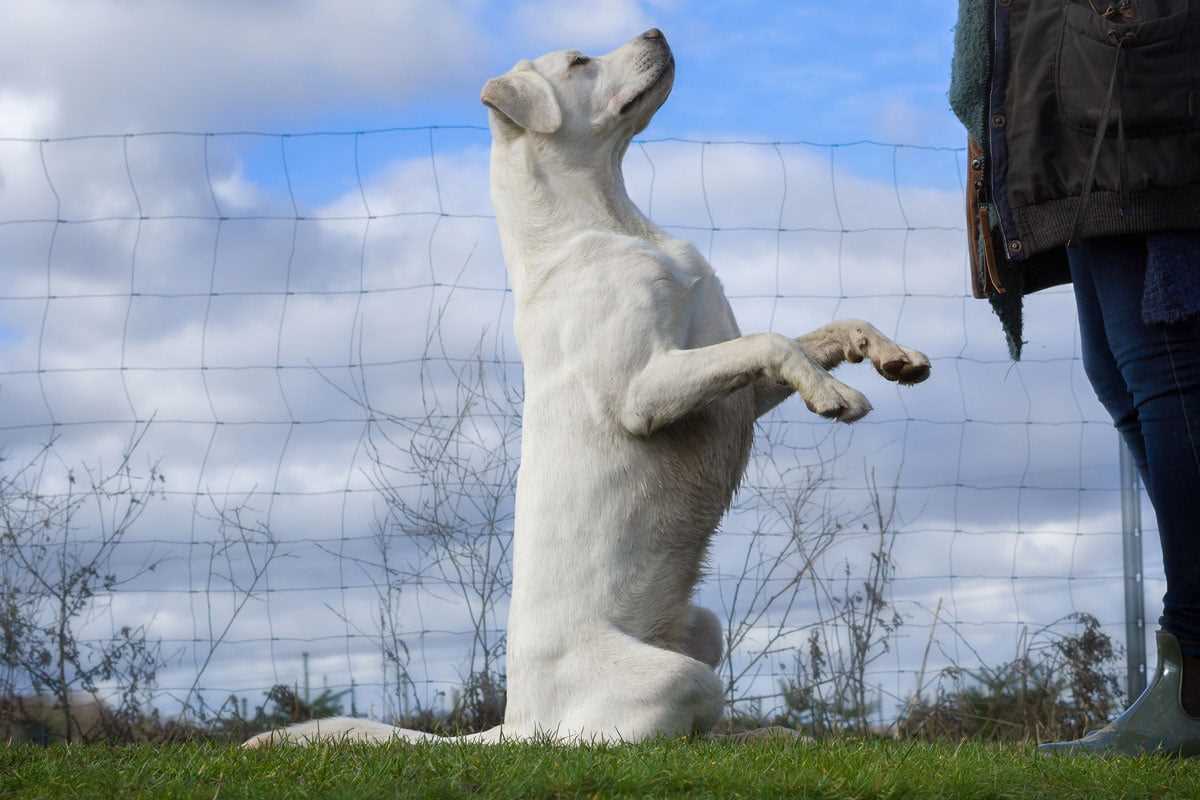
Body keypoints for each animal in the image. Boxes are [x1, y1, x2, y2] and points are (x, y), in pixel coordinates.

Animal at [246, 26, 926, 753]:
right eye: (578, 62)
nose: (657, 30)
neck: (610, 221)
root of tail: (516, 724)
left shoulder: (730, 387)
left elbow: (816, 333)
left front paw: (888, 355)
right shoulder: (644, 392)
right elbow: (772, 341)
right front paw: (833, 395)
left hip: (703, 628)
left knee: (703, 735)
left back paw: (772, 737)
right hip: (674, 680)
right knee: (656, 742)